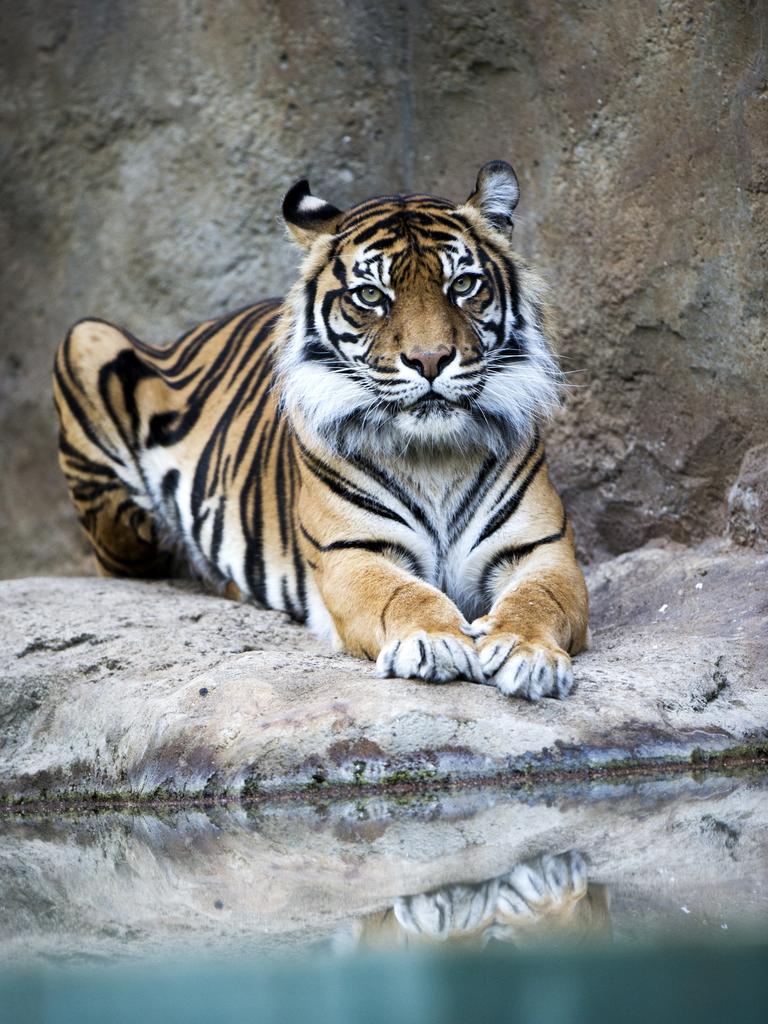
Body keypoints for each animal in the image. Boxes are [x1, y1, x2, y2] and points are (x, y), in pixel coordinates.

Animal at [55, 159, 589, 700]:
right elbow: (401, 594)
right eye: (370, 295)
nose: (430, 359)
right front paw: (433, 641)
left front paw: (527, 653)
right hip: (84, 338)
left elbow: (539, 599)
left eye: (461, 285)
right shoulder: (351, 552)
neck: (433, 455)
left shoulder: (543, 548)